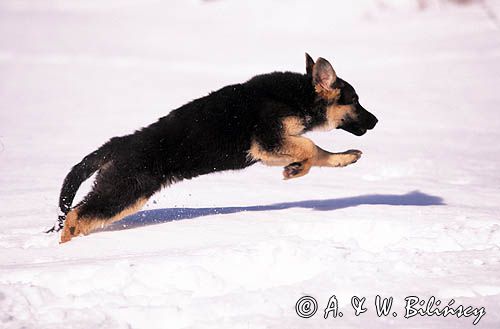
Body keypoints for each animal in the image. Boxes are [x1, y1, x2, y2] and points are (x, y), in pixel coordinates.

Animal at [52, 53, 376, 242]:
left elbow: (314, 152)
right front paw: (300, 168)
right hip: (125, 191)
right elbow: (311, 146)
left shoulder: (269, 150)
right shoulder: (268, 140)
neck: (301, 95)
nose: (376, 121)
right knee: (77, 215)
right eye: (356, 101)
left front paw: (328, 162)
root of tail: (119, 143)